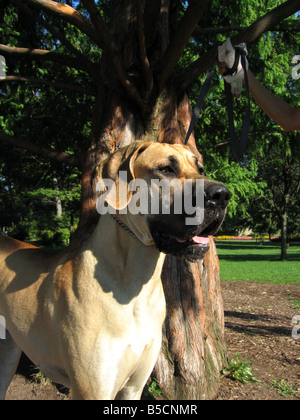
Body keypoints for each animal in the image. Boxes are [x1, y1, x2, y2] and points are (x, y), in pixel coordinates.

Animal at [0, 142, 230, 400]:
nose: (222, 195)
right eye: (165, 169)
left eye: (200, 169)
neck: (136, 286)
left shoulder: (133, 388)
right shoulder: (93, 390)